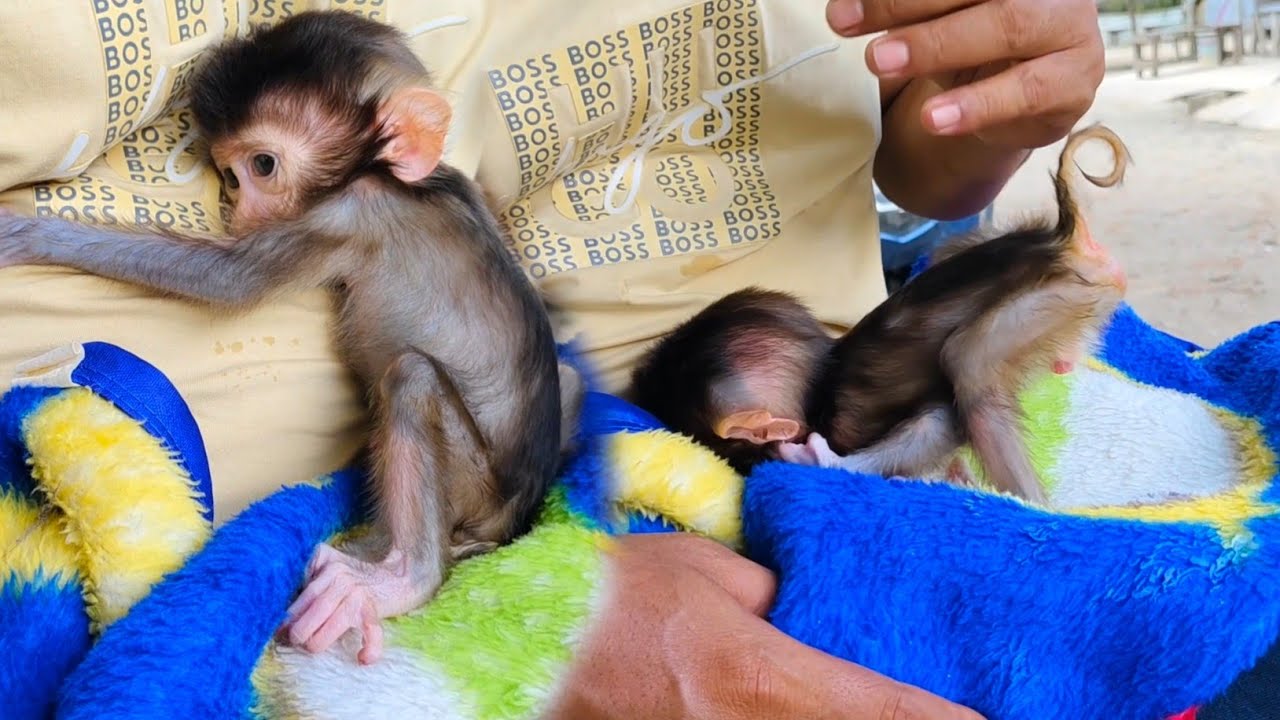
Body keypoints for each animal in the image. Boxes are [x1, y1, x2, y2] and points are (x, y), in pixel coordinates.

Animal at [0, 10, 583, 665]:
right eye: (230, 174)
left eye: (262, 167)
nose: (239, 209)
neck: (401, 179)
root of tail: (514, 521)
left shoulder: (349, 212)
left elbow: (227, 280)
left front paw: (29, 234)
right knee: (567, 374)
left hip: (472, 479)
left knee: (411, 377)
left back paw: (400, 578)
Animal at [627, 124, 1133, 504]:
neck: (822, 378)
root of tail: (1062, 239)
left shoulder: (844, 418)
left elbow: (938, 423)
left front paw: (824, 462)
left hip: (1061, 295)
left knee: (970, 361)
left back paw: (1029, 507)